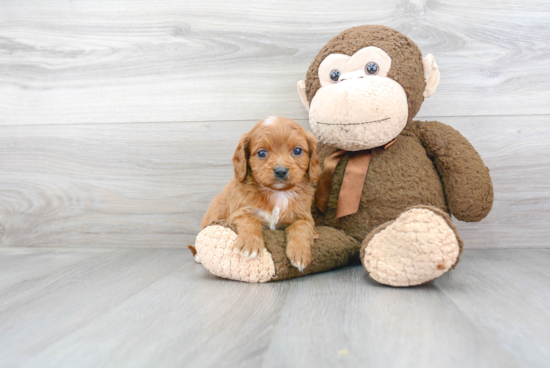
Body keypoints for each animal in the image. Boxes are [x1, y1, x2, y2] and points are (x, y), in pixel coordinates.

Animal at [202, 116, 324, 272]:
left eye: (297, 151)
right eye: (261, 153)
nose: (280, 171)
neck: (278, 193)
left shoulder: (305, 217)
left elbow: (301, 227)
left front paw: (300, 253)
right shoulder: (238, 213)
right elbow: (251, 219)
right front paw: (250, 245)